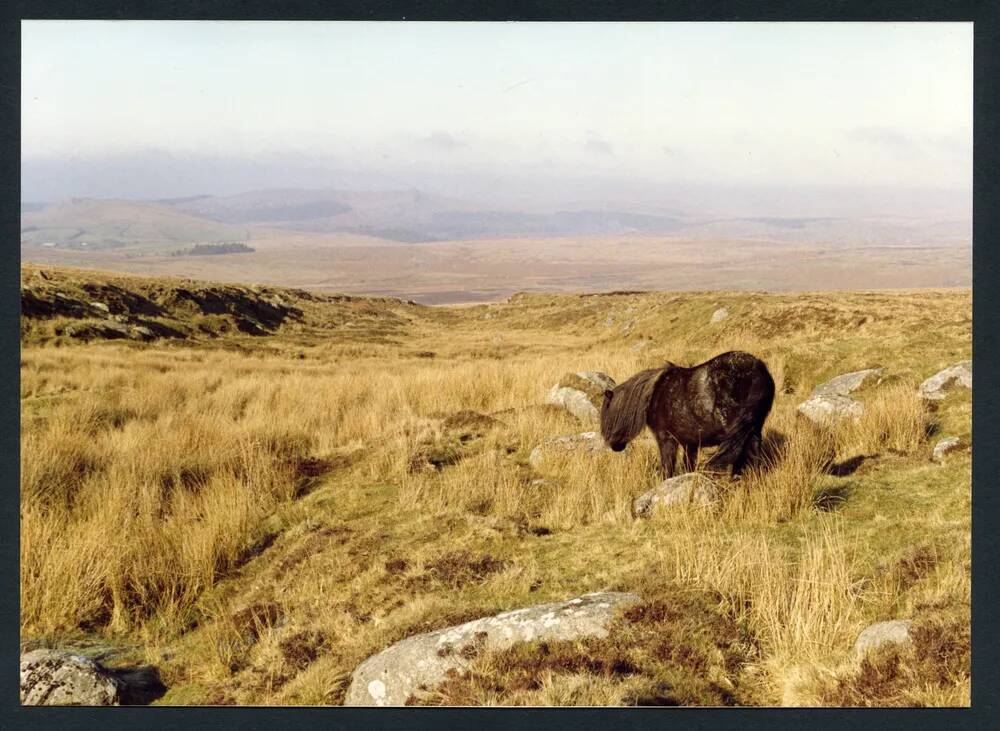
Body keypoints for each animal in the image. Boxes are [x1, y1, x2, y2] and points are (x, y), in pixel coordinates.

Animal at [600, 350, 772, 478]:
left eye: (606, 414)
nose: (615, 447)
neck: (652, 396)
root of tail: (757, 368)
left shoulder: (666, 439)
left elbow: (668, 467)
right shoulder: (690, 443)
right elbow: (688, 465)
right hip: (754, 430)